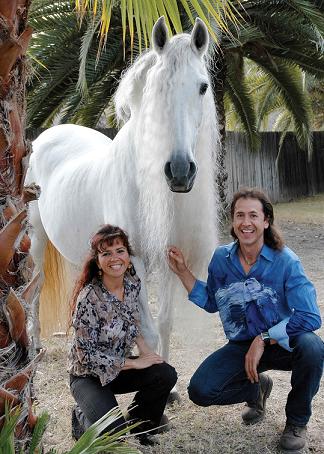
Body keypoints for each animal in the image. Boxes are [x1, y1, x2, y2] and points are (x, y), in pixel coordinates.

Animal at [26, 16, 220, 362]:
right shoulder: (134, 260)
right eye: (156, 88)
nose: (179, 171)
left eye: (203, 87)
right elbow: (148, 331)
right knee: (34, 288)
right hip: (36, 240)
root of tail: (46, 136)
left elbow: (164, 323)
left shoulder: (170, 257)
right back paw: (34, 345)